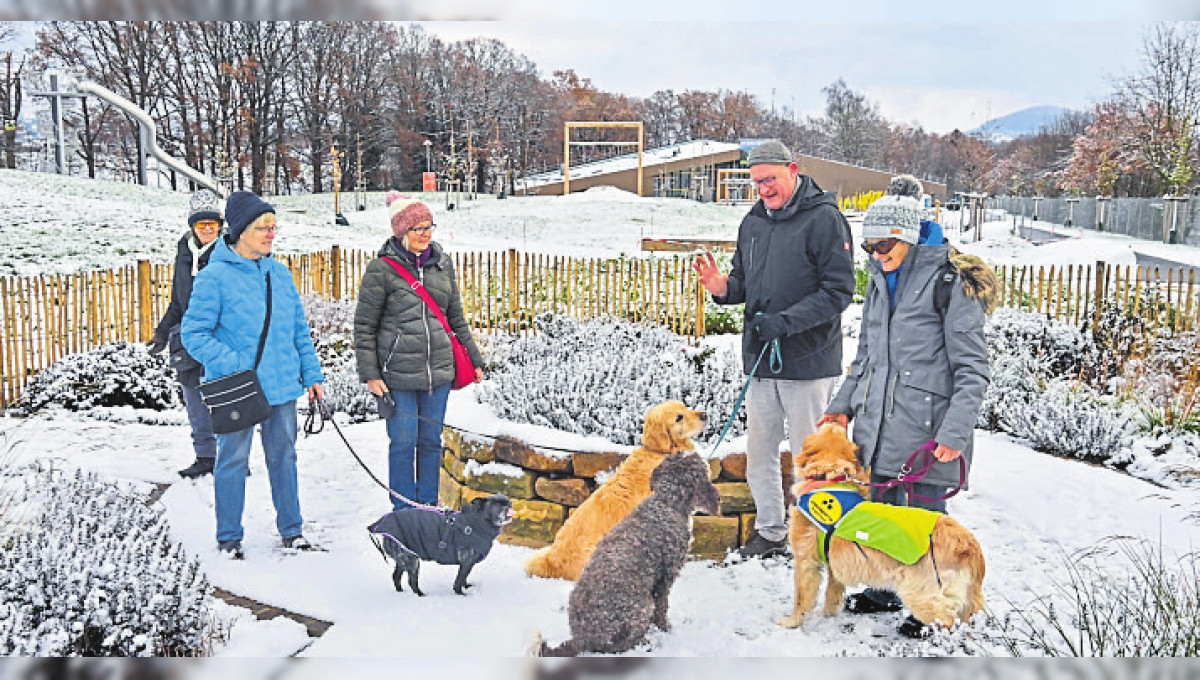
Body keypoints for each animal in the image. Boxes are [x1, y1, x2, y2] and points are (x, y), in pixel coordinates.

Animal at [367, 494, 513, 594]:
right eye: (497, 505)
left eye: (507, 500)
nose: (509, 504)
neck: (477, 522)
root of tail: (380, 527)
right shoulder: (466, 562)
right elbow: (459, 580)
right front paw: (460, 594)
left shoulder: (467, 564)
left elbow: (464, 578)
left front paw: (466, 587)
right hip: (412, 561)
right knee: (411, 581)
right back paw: (420, 595)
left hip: (404, 559)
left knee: (396, 576)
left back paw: (400, 592)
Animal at [777, 426, 984, 633]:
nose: (835, 422)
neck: (830, 479)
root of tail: (969, 544)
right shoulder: (834, 564)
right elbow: (832, 593)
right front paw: (828, 614)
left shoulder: (805, 560)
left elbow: (801, 597)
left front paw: (792, 621)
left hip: (920, 592)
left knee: (948, 621)